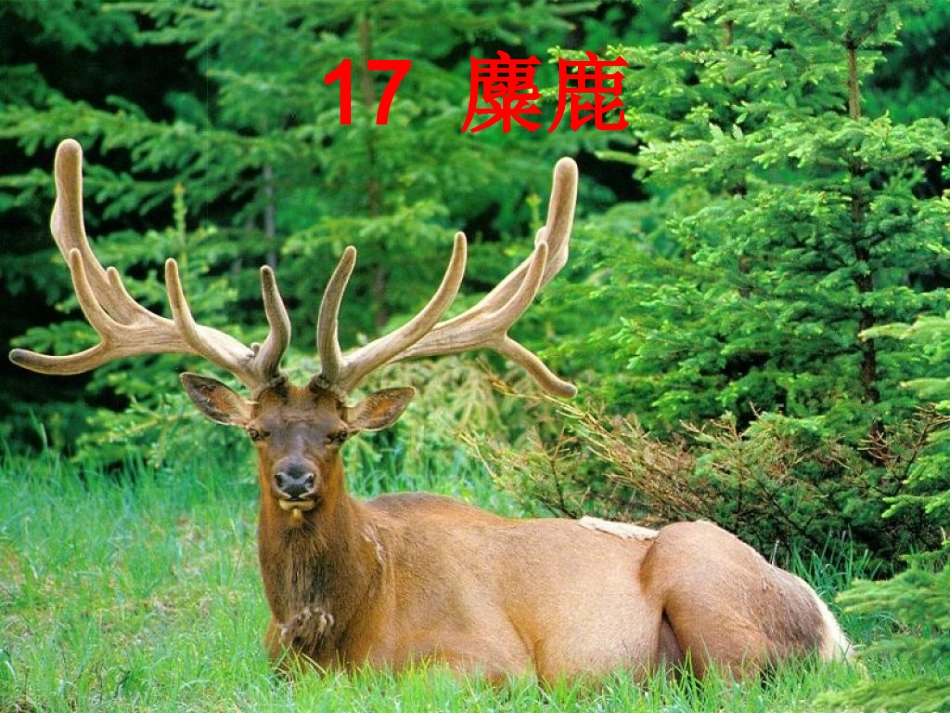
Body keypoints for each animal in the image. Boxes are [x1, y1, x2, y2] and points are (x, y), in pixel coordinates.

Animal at [11, 139, 851, 685]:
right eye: (256, 430)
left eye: (338, 434)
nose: (293, 478)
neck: (335, 631)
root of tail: (832, 626)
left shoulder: (488, 660)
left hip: (704, 583)